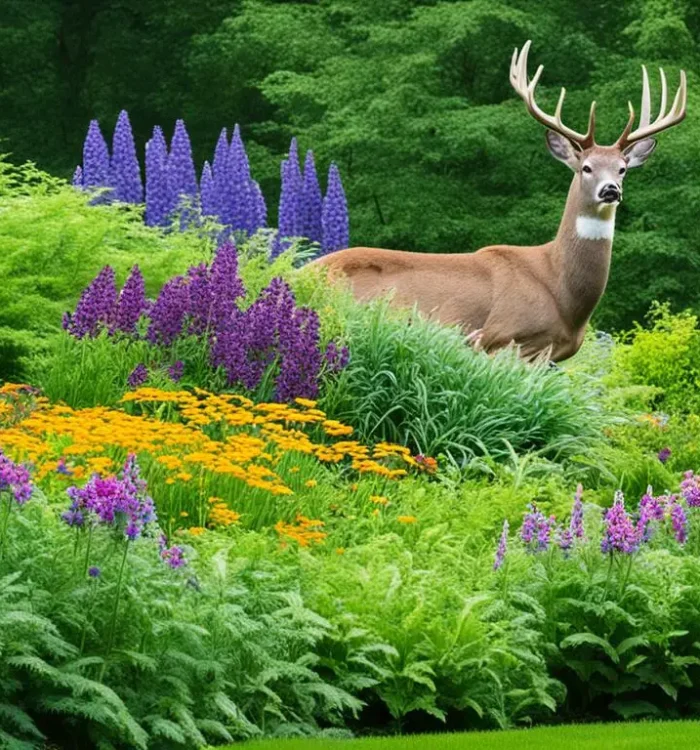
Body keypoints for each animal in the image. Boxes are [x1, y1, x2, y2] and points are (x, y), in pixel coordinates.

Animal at [307, 41, 687, 361]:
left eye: (622, 169)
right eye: (586, 167)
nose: (611, 190)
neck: (561, 290)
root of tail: (301, 272)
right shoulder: (503, 336)